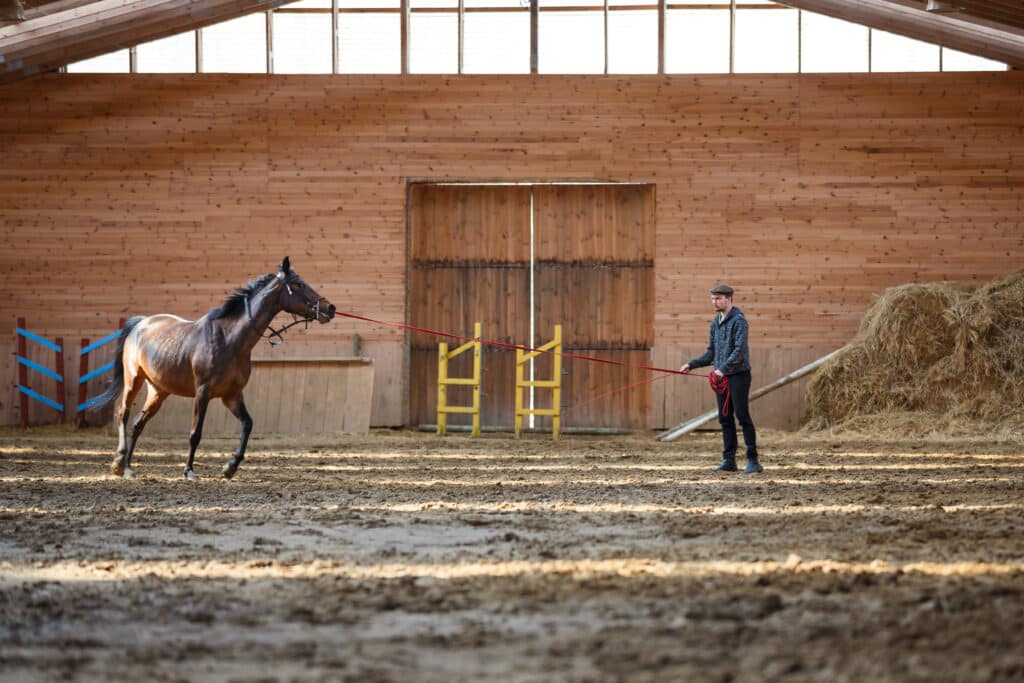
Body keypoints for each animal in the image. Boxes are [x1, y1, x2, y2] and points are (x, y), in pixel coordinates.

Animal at [92, 257, 335, 480]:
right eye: (299, 284)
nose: (330, 308)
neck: (229, 339)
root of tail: (141, 323)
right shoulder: (203, 392)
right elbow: (195, 433)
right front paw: (189, 471)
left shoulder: (232, 395)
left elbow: (248, 424)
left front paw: (230, 467)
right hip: (133, 380)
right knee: (123, 414)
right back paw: (118, 462)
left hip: (159, 391)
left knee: (138, 424)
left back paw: (128, 467)